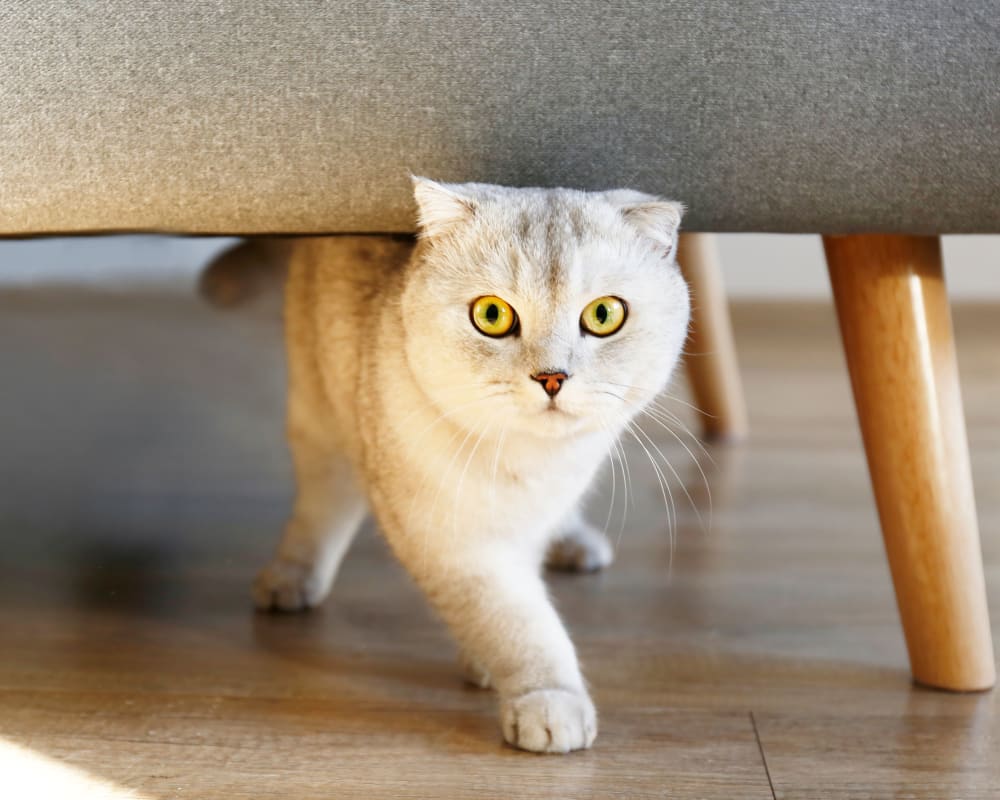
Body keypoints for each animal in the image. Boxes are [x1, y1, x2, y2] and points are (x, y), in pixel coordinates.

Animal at [207, 180, 692, 752]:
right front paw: (546, 698)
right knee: (320, 508)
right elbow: (515, 620)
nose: (552, 378)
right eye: (492, 316)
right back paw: (291, 579)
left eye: (603, 316)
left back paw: (575, 544)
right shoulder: (453, 543)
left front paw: (487, 664)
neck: (535, 466)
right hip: (320, 416)